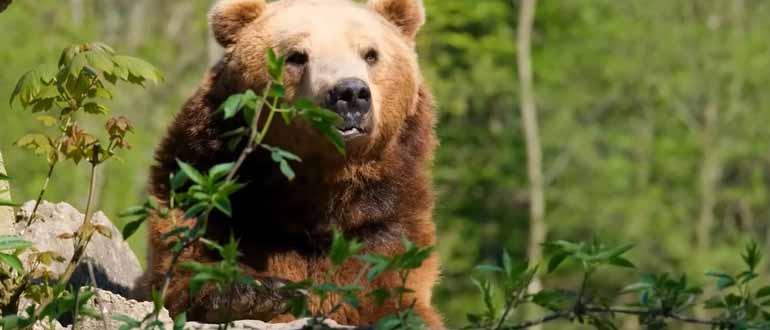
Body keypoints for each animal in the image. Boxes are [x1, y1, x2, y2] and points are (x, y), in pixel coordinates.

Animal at [143, 0, 440, 326]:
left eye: (370, 53)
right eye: (297, 56)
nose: (349, 94)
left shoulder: (384, 218)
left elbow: (388, 292)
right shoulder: (208, 185)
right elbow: (187, 263)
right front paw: (256, 293)